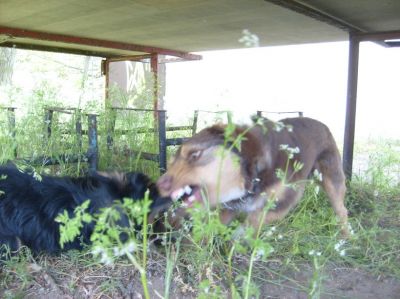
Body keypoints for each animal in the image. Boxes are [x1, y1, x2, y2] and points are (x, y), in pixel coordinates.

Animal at [155, 117, 348, 237]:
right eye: (171, 163)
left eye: (194, 155)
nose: (159, 184)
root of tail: (324, 125)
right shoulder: (228, 207)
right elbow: (214, 227)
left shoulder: (282, 203)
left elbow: (253, 220)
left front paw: (237, 238)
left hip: (332, 180)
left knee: (342, 210)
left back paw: (346, 237)